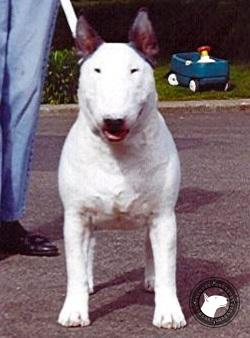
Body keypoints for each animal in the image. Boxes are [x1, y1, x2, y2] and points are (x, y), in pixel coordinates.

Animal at [56, 8, 186, 330]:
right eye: (96, 71)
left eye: (134, 71)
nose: (113, 121)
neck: (117, 155)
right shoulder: (75, 217)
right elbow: (75, 267)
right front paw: (75, 310)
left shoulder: (163, 217)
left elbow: (167, 267)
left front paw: (168, 312)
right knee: (87, 251)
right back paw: (89, 282)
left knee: (150, 249)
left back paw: (151, 279)